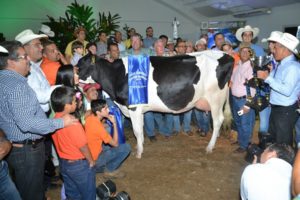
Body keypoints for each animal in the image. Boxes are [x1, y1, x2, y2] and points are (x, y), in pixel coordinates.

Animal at [79, 50, 234, 159]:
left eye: (81, 65)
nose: (74, 78)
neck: (116, 76)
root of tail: (226, 55)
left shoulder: (133, 108)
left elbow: (137, 131)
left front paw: (139, 153)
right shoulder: (138, 109)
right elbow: (140, 130)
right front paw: (140, 146)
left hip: (215, 99)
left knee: (218, 120)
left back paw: (209, 147)